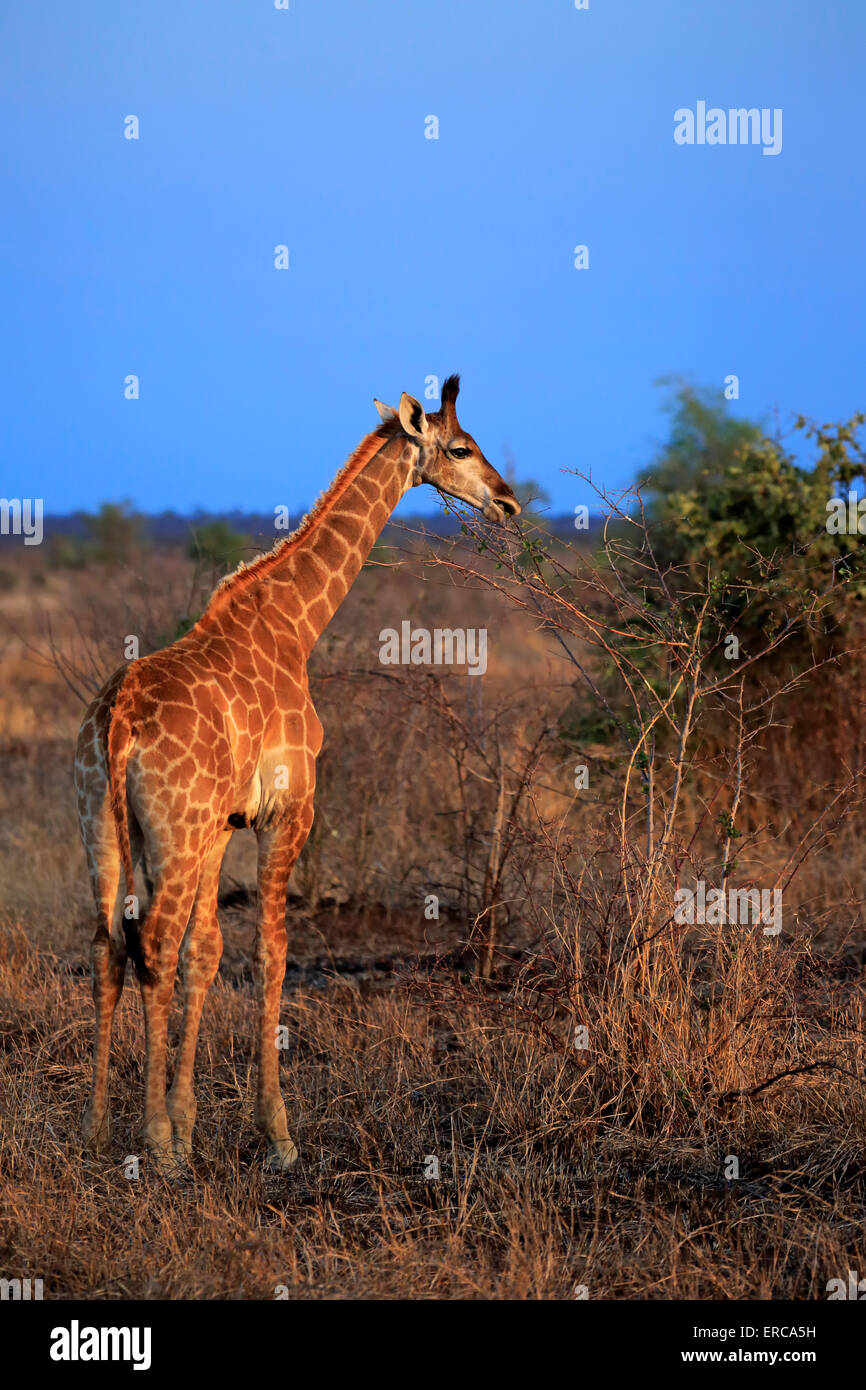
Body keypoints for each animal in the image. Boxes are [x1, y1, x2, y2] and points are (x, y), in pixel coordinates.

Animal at [74, 375, 517, 1167]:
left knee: (107, 949)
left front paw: (190, 1122)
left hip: (103, 825)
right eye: (463, 447)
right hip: (171, 833)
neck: (293, 624)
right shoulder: (287, 811)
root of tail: (117, 721)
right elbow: (272, 953)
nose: (509, 502)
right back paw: (153, 1148)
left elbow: (207, 954)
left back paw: (98, 1130)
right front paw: (272, 1135)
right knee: (148, 944)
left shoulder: (223, 824)